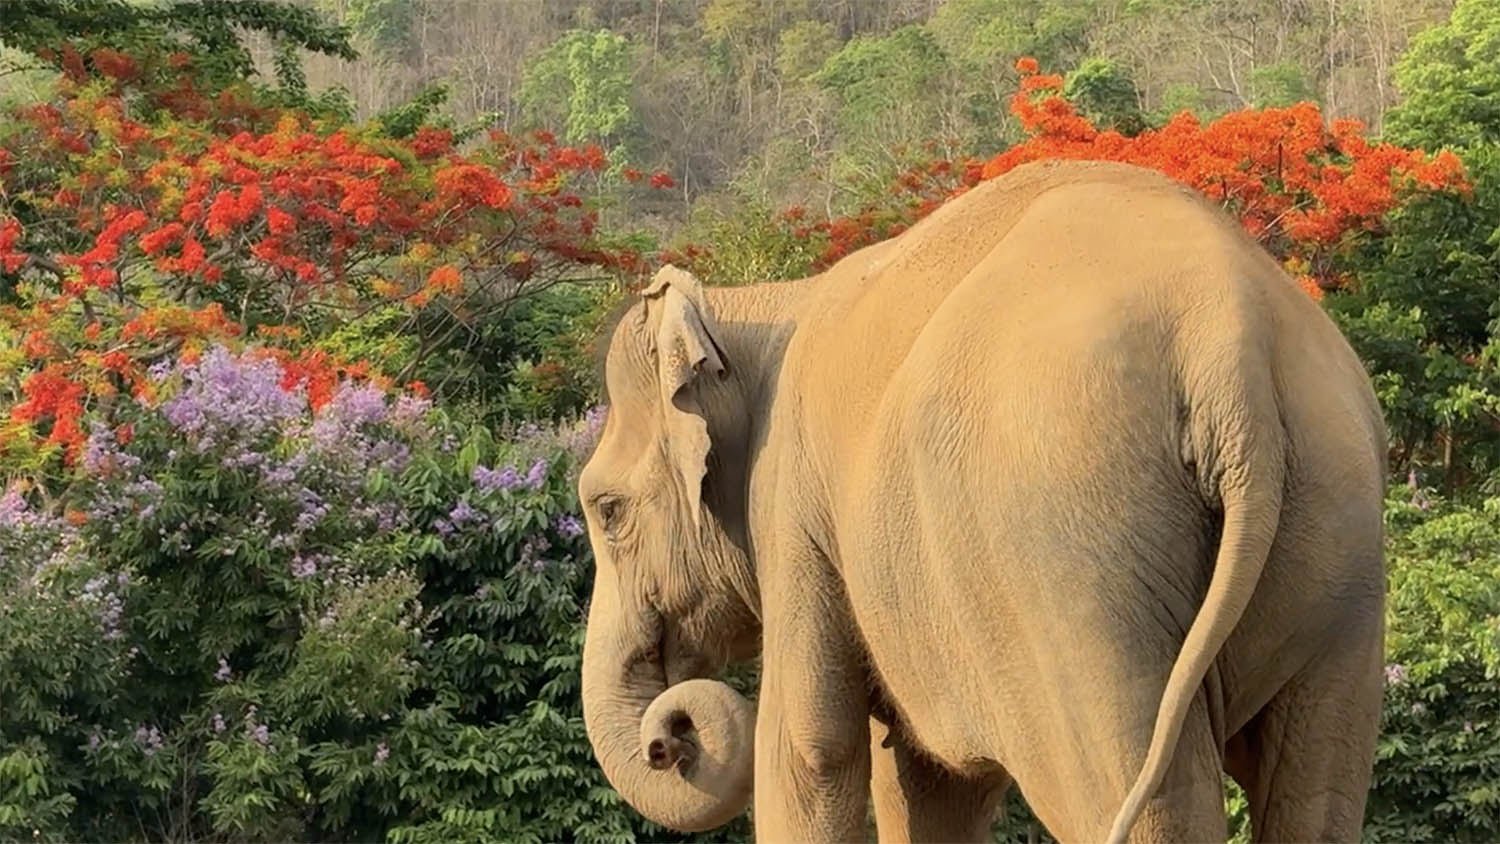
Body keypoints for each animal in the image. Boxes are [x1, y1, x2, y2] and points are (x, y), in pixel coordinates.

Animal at [576, 158, 1388, 843]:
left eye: (608, 511)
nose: (666, 741)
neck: (765, 308)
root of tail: (1229, 346)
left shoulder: (793, 508)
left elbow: (810, 750)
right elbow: (928, 782)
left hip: (1074, 575)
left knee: (1125, 791)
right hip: (1335, 536)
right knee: (1318, 784)